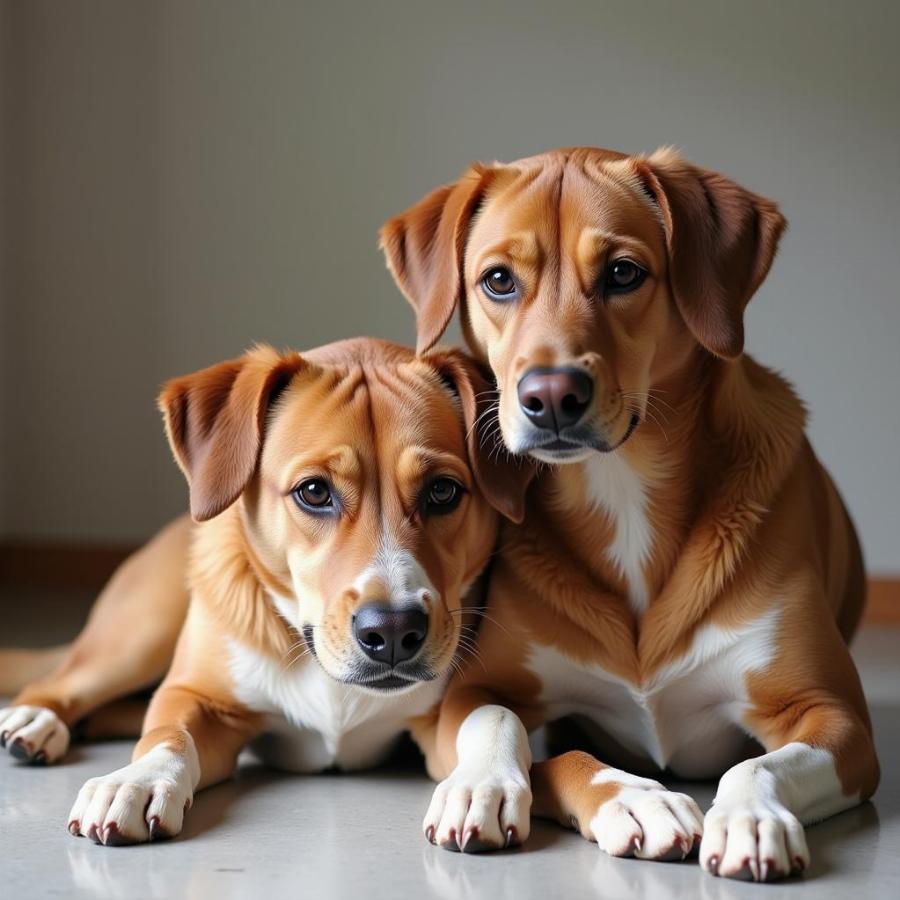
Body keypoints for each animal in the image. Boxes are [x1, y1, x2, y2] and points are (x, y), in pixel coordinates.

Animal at [0, 338, 524, 844]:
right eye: (314, 492)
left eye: (442, 491)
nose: (393, 632)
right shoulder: (195, 695)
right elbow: (167, 732)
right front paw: (138, 780)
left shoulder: (452, 705)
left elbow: (494, 714)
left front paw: (485, 782)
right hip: (138, 637)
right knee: (62, 681)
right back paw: (34, 721)